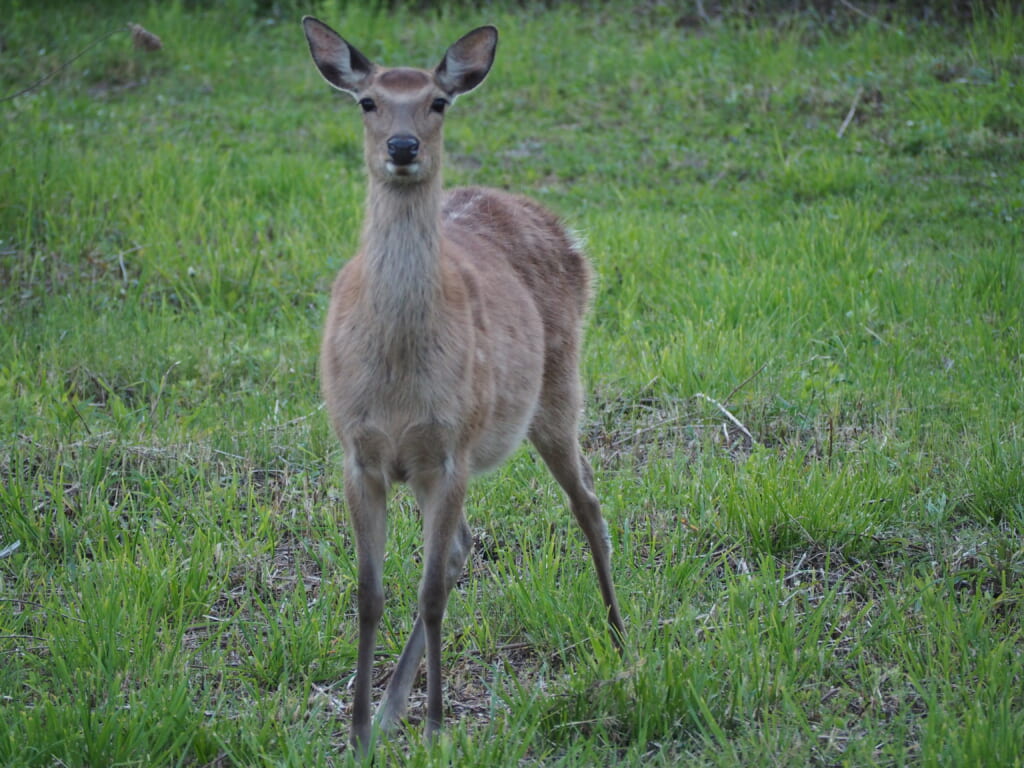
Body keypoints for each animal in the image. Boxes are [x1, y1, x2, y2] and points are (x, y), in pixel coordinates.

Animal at [299, 15, 626, 753]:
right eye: (368, 101)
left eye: (438, 101)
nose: (402, 146)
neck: (397, 379)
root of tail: (566, 232)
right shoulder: (358, 454)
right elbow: (369, 592)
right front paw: (361, 730)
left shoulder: (449, 451)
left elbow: (426, 594)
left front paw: (438, 725)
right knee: (463, 547)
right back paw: (393, 704)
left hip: (558, 391)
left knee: (588, 503)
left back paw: (624, 642)